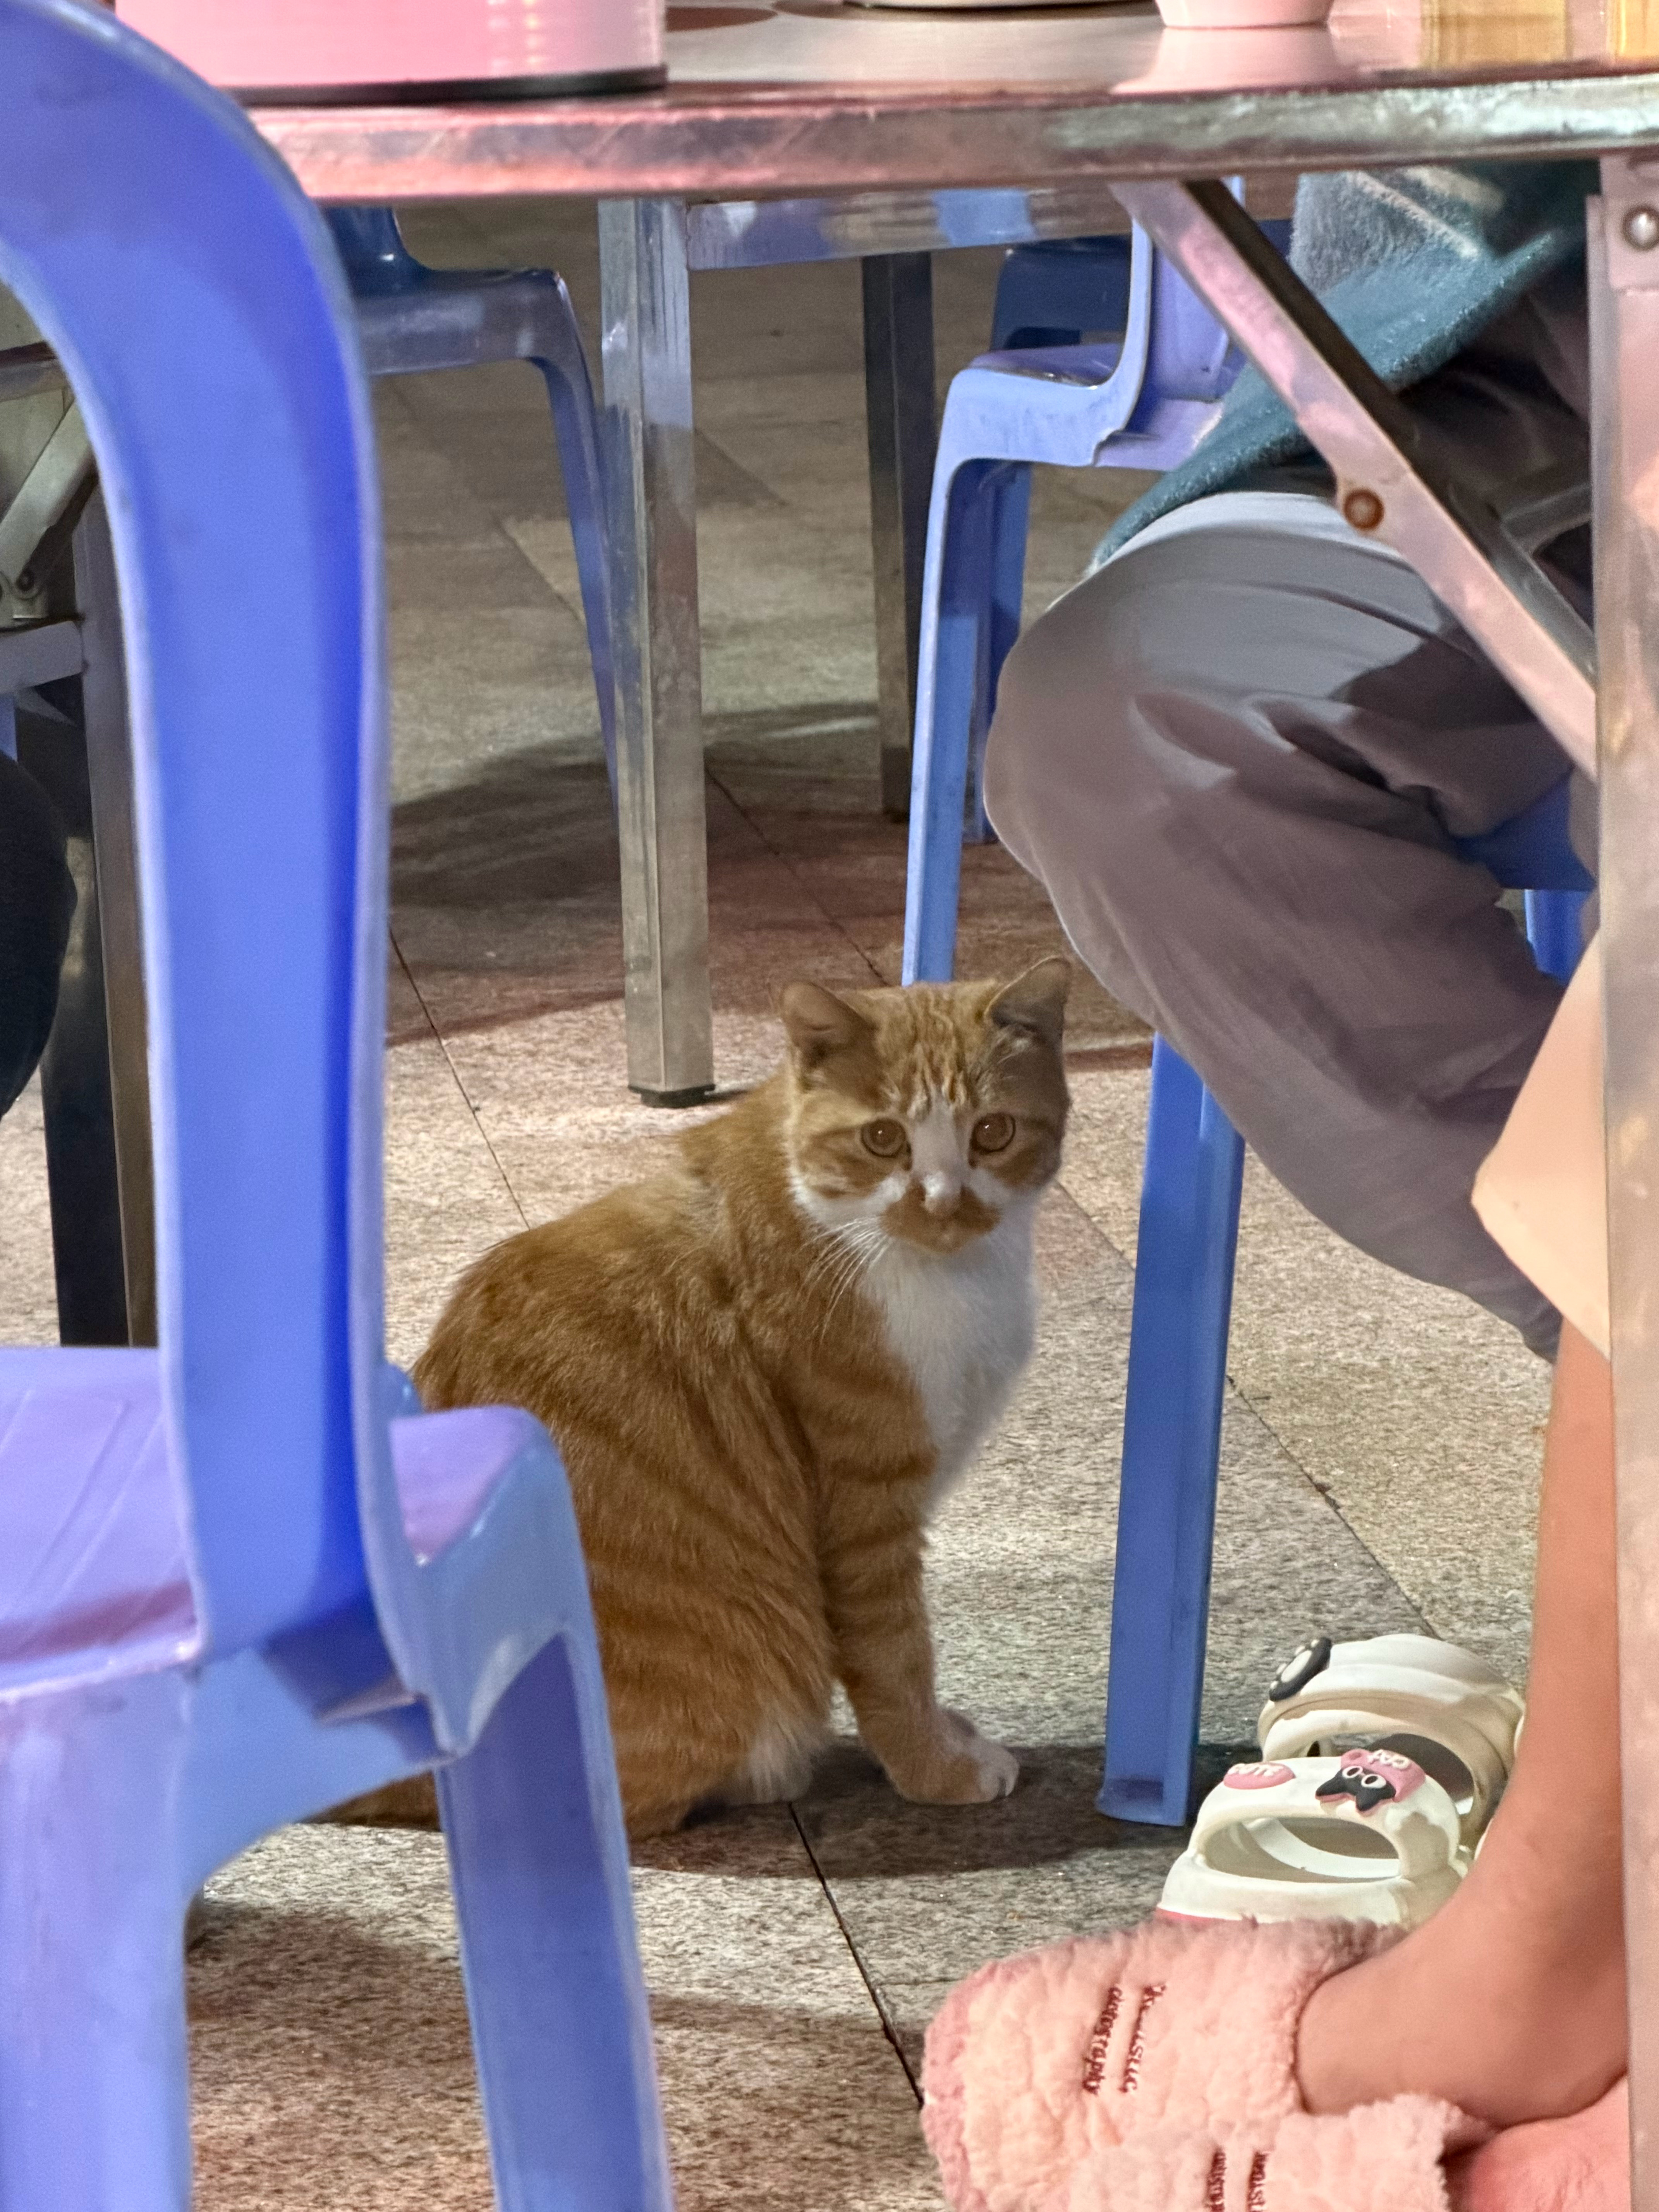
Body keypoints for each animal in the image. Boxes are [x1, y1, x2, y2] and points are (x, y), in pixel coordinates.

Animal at [410, 960, 1070, 1838]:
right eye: (883, 1139)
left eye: (992, 1132)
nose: (940, 1202)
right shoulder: (865, 1512)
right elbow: (895, 1656)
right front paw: (934, 1766)